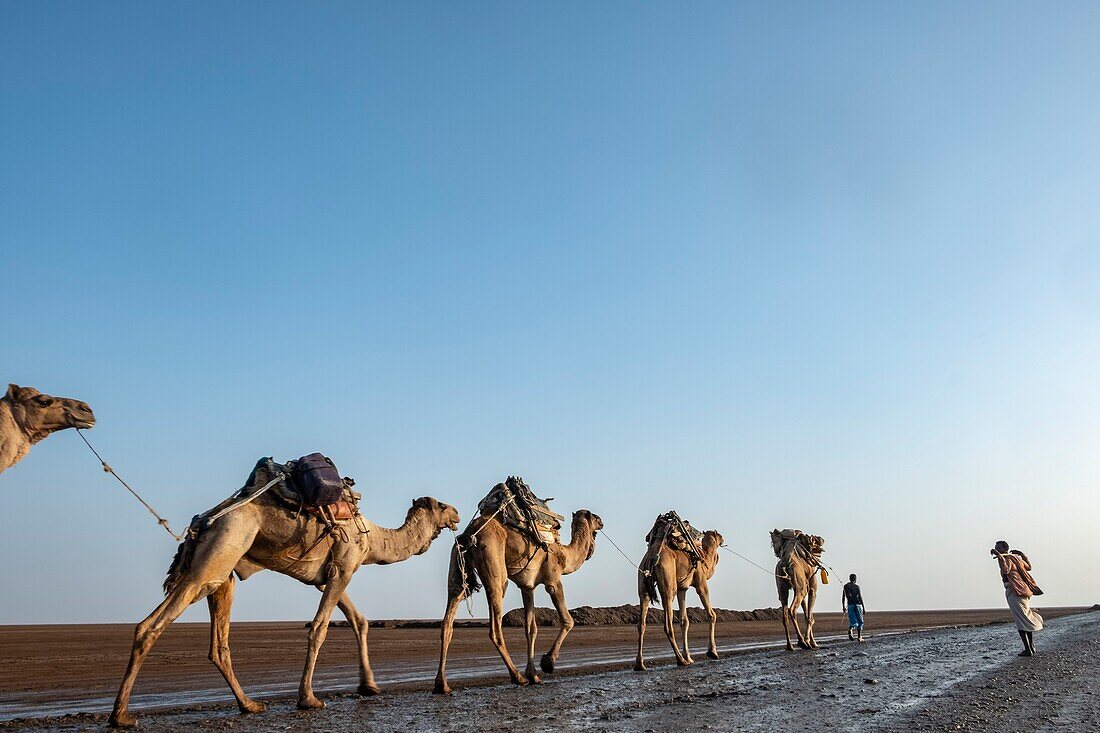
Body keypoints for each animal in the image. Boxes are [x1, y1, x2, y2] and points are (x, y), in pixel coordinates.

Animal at [108, 471, 459, 721]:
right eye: (441, 505)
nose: (456, 512)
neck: (372, 539)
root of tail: (205, 519)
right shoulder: (344, 566)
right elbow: (318, 628)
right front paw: (309, 698)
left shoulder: (329, 577)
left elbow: (359, 620)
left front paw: (369, 685)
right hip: (219, 553)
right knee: (155, 624)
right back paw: (121, 715)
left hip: (222, 568)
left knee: (214, 642)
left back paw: (249, 705)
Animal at [431, 490, 602, 691]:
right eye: (595, 517)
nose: (602, 522)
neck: (565, 555)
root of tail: (470, 534)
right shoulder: (553, 580)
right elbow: (568, 620)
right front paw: (548, 662)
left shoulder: (527, 587)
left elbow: (531, 629)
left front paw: (534, 674)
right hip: (496, 571)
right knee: (495, 628)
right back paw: (517, 677)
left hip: (457, 567)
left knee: (447, 622)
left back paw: (442, 685)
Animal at [638, 512, 721, 669]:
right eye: (718, 535)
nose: (723, 537)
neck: (704, 560)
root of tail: (651, 557)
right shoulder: (701, 583)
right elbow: (711, 614)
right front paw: (712, 652)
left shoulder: (683, 588)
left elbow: (684, 621)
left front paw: (689, 656)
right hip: (668, 585)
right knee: (667, 625)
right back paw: (680, 660)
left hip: (643, 583)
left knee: (641, 624)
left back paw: (639, 664)